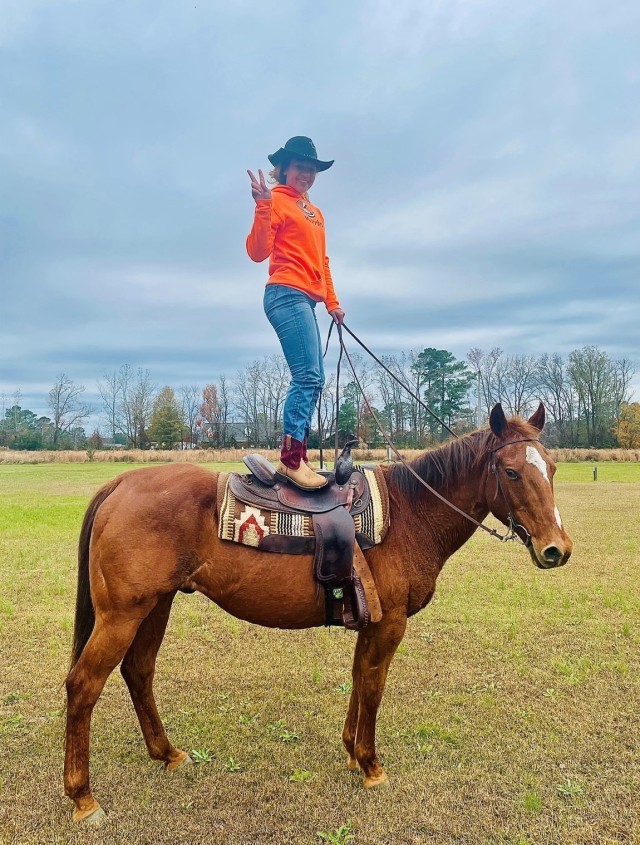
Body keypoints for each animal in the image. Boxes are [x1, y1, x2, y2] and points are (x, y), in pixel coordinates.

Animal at [65, 406, 572, 820]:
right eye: (511, 472)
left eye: (550, 468)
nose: (557, 549)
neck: (410, 513)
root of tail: (120, 483)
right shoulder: (390, 624)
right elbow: (374, 688)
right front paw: (371, 764)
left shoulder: (370, 622)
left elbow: (359, 678)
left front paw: (351, 752)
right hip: (121, 615)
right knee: (83, 685)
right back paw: (83, 797)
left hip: (156, 605)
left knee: (138, 671)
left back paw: (166, 753)